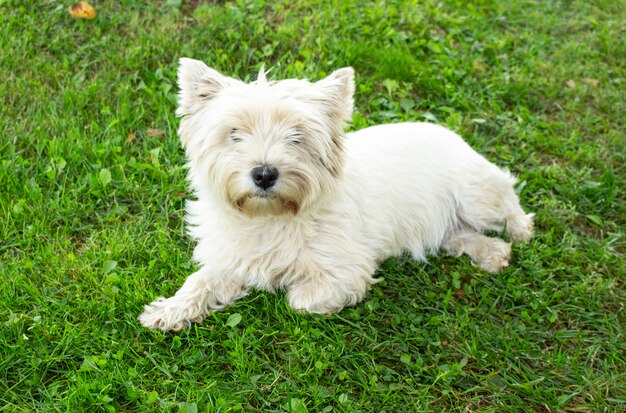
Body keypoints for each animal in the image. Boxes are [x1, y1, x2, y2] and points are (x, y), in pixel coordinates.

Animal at [139, 58, 532, 330]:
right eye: (234, 134)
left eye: (297, 137)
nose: (264, 174)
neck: (273, 216)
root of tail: (449, 132)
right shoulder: (229, 257)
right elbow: (200, 281)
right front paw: (167, 310)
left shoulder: (346, 269)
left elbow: (299, 299)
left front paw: (288, 288)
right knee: (457, 234)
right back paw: (492, 253)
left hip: (475, 194)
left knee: (508, 199)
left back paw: (518, 234)